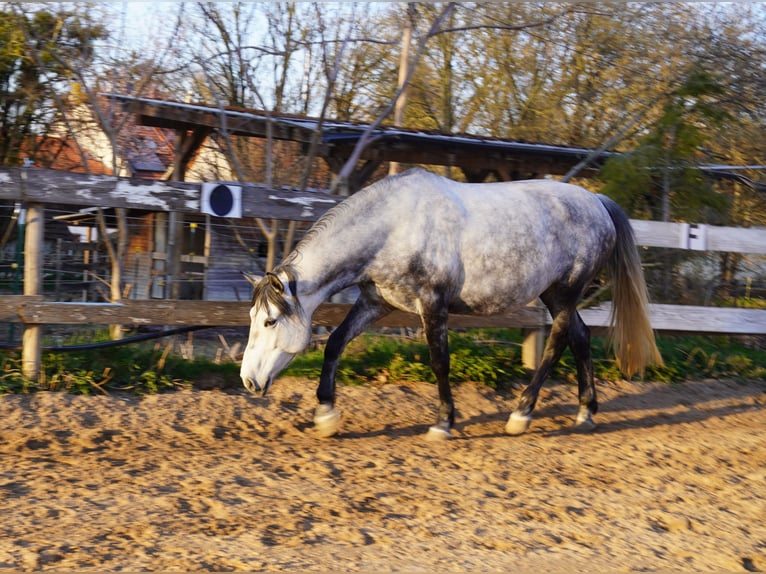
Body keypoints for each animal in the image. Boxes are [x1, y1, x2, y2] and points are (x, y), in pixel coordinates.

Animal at [240, 168, 662, 440]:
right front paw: (326, 415)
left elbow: (439, 362)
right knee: (580, 338)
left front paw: (443, 423)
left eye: (270, 321)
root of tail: (596, 201)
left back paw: (520, 415)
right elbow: (335, 344)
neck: (391, 227)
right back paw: (585, 413)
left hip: (565, 293)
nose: (248, 381)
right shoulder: (376, 303)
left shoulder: (432, 305)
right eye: (252, 318)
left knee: (556, 344)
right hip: (556, 296)